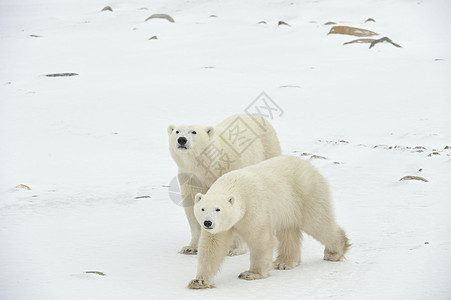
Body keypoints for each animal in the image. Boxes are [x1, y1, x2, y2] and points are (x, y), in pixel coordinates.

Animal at [170, 113, 282, 254]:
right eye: (177, 131)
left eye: (194, 132)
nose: (182, 140)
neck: (209, 164)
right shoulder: (191, 177)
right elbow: (192, 207)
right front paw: (190, 247)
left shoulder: (230, 168)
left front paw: (234, 249)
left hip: (268, 150)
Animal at [189, 155, 352, 288]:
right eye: (202, 209)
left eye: (218, 209)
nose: (208, 223)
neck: (234, 185)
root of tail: (310, 166)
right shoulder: (220, 227)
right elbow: (212, 246)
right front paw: (199, 281)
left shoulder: (253, 208)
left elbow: (261, 239)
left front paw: (251, 273)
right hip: (288, 208)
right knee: (288, 231)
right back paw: (284, 262)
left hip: (306, 193)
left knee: (318, 222)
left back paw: (335, 251)